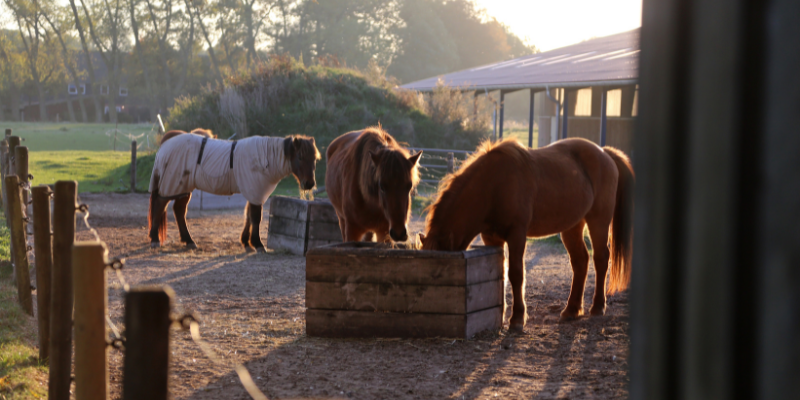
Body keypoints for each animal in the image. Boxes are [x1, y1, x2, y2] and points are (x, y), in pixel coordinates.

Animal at [148, 130, 320, 252]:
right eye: (300, 157)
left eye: (315, 159)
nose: (309, 184)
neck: (265, 157)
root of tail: (166, 144)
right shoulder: (255, 190)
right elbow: (255, 217)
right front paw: (257, 244)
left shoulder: (254, 191)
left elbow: (249, 216)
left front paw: (246, 242)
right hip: (172, 185)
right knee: (160, 206)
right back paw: (155, 239)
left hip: (184, 187)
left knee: (179, 211)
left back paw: (189, 241)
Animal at [422, 138, 636, 332]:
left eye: (443, 273)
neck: (494, 184)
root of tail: (605, 152)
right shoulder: (491, 238)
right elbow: (501, 273)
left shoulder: (517, 234)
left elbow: (516, 273)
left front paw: (517, 318)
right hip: (572, 226)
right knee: (580, 261)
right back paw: (571, 310)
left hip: (598, 222)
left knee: (601, 259)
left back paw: (598, 307)